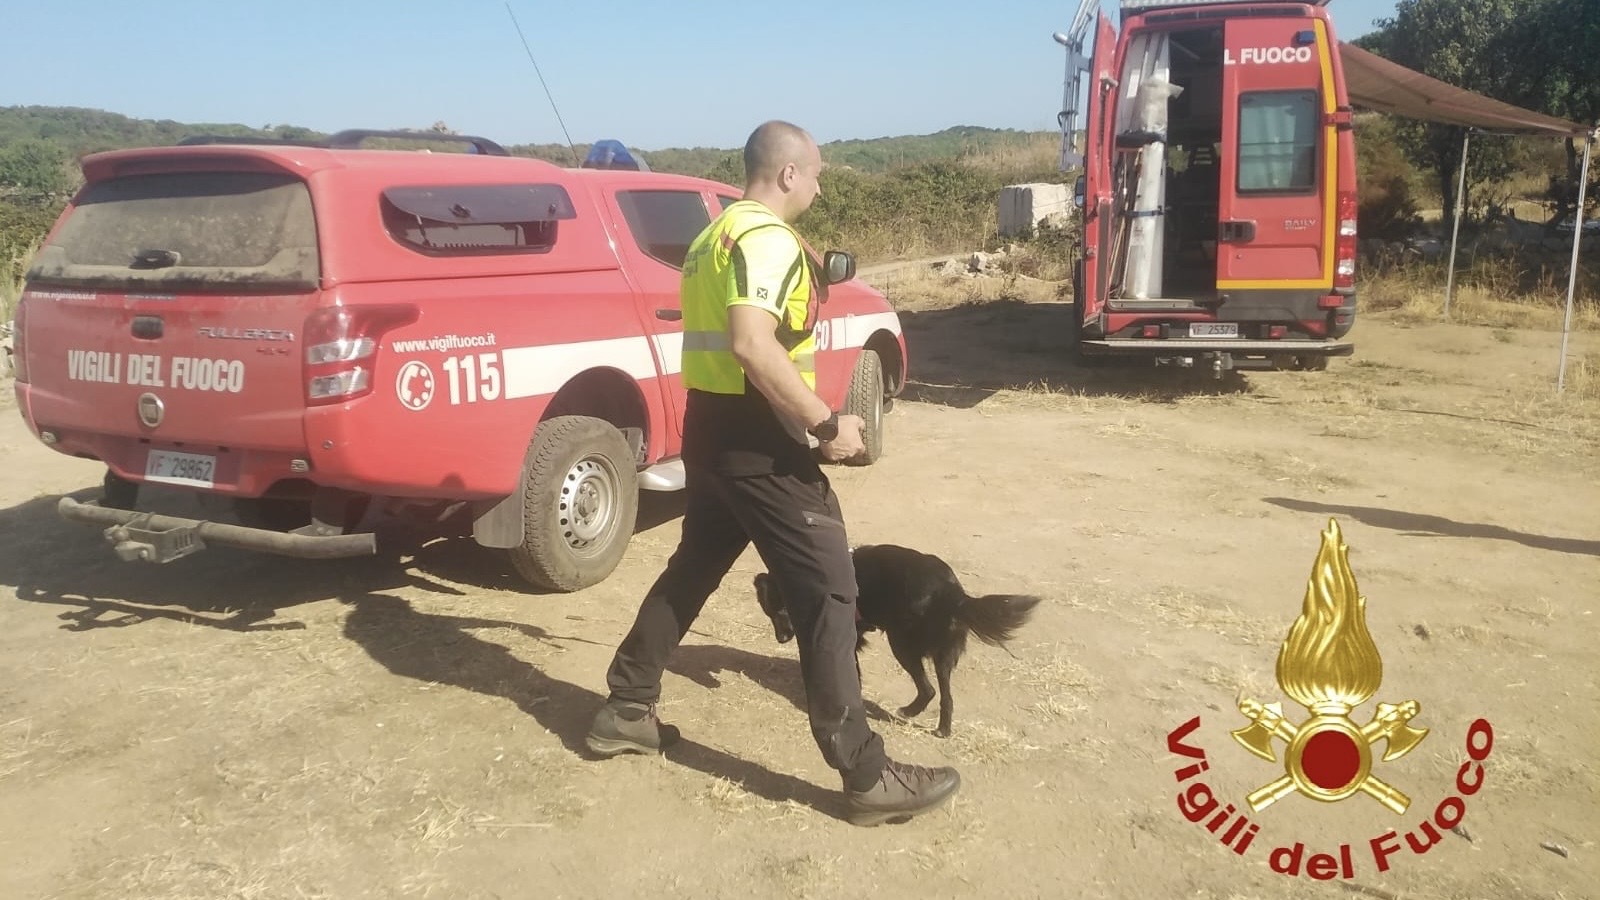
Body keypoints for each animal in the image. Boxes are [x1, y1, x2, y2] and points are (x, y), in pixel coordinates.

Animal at [755, 538, 1043, 736]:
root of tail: (954, 595)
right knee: (945, 696)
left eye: (781, 612)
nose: (781, 639)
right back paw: (942, 729)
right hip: (942, 657)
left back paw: (910, 712)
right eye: (768, 612)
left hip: (901, 644)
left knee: (928, 689)